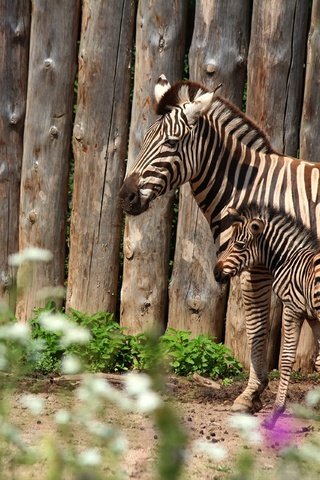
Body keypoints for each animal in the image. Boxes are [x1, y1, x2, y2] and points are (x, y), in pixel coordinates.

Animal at [214, 206, 320, 428]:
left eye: (239, 245)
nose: (215, 273)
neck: (289, 259)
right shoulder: (312, 316)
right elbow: (319, 361)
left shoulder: (292, 307)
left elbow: (286, 358)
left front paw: (276, 412)